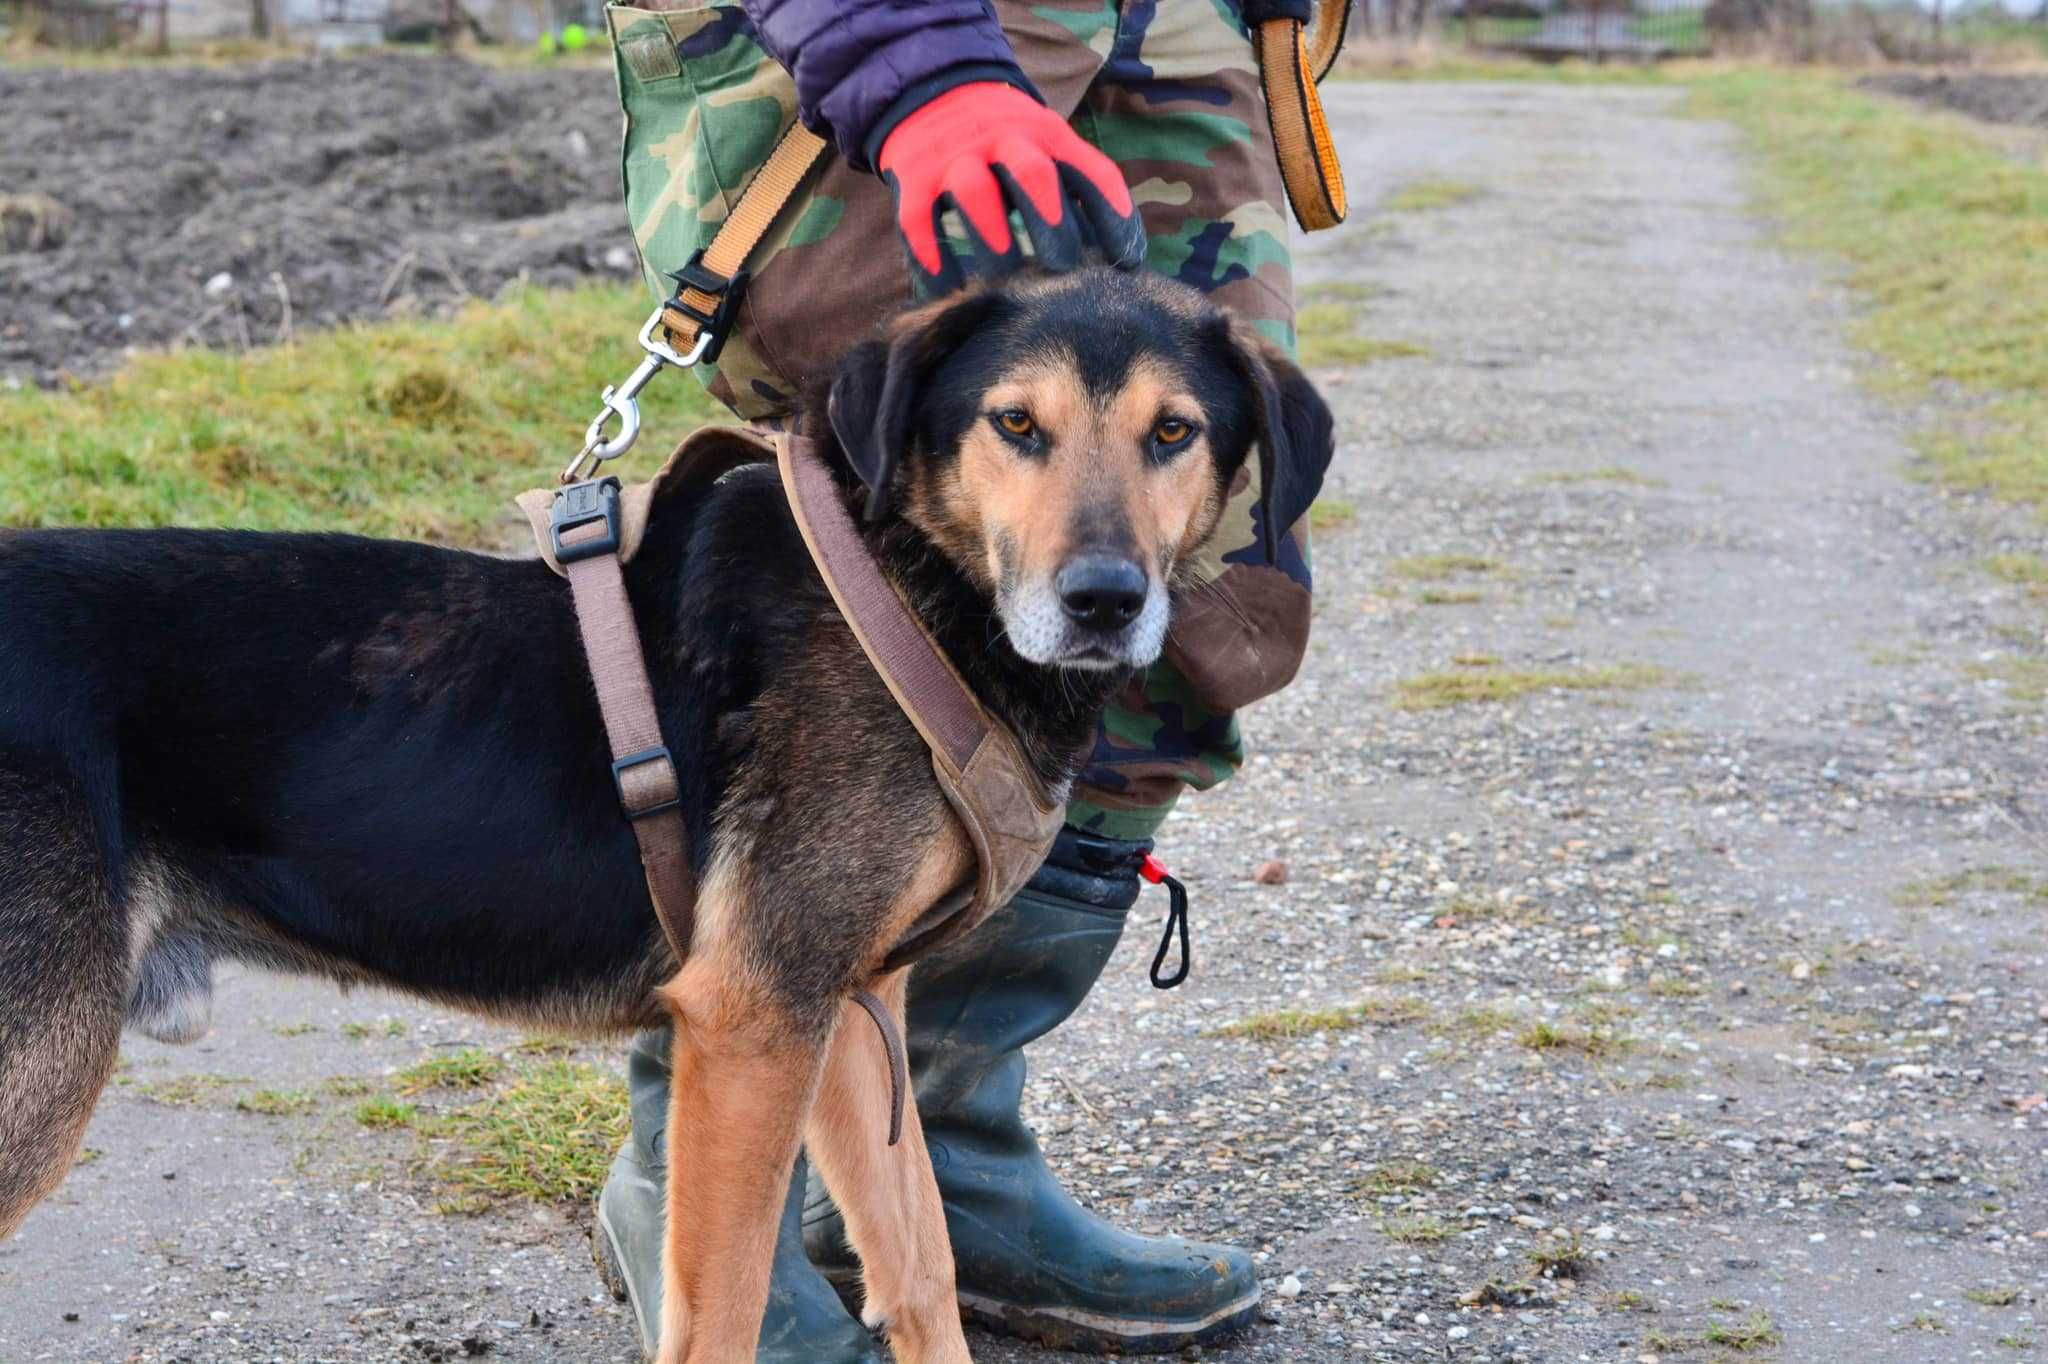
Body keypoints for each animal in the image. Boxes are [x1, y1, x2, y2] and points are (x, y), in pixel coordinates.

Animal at [0, 268, 1335, 1359]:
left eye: (1172, 432)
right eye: (1016, 424)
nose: (1102, 601)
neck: (911, 580)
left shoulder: (846, 1007)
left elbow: (921, 1266)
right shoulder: (754, 1018)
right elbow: (725, 1313)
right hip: (36, 1071)